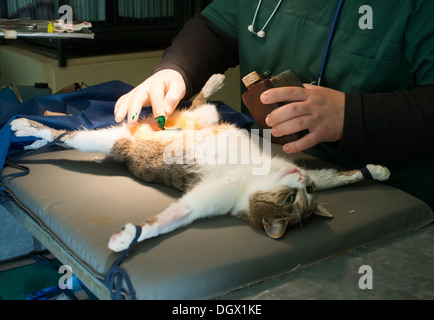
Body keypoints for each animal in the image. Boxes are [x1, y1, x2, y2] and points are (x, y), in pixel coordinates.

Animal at [10, 74, 390, 252]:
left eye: (303, 194)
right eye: (291, 198)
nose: (298, 179)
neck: (254, 180)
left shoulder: (211, 200)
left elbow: (329, 177)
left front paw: (373, 170)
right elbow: (330, 176)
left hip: (138, 134)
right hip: (182, 122)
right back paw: (29, 127)